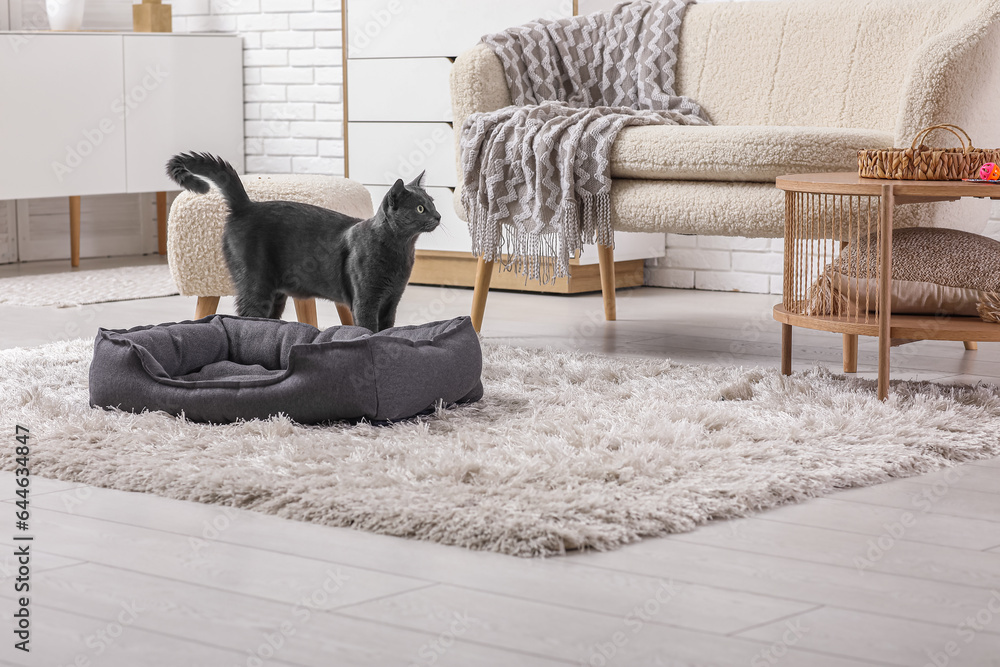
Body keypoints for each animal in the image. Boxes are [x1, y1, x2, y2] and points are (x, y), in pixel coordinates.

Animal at [166, 150, 440, 330]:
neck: (401, 251)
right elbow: (368, 329)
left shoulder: (391, 301)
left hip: (276, 294)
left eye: (432, 203)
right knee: (247, 315)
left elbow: (387, 329)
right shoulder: (366, 301)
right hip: (256, 283)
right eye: (420, 209)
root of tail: (247, 206)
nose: (438, 216)